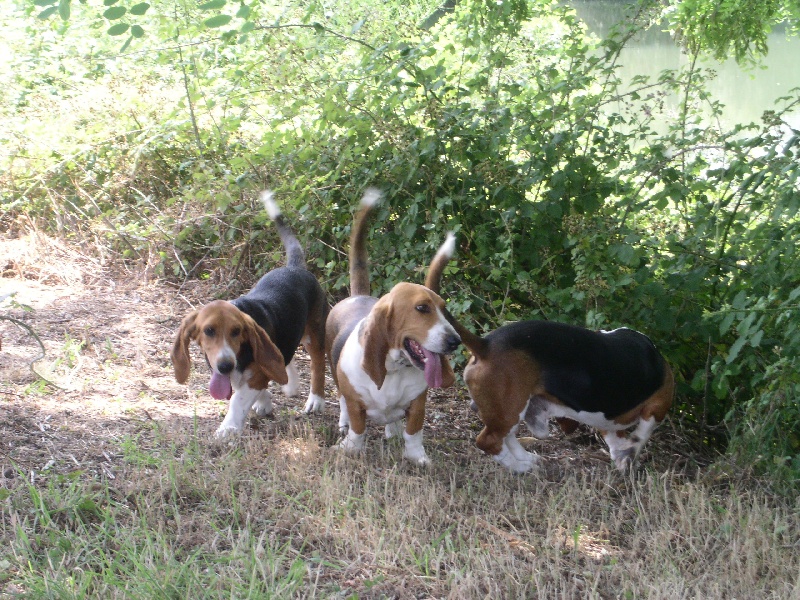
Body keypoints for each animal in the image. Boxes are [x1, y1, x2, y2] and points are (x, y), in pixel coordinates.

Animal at [324, 190, 462, 466]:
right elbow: (358, 427)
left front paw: (417, 457)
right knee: (342, 402)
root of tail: (358, 295)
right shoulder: (355, 402)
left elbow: (414, 433)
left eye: (444, 309)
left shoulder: (418, 404)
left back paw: (393, 430)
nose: (455, 342)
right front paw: (350, 449)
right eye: (422, 308)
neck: (395, 367)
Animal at [450, 318, 676, 474]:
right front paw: (629, 456)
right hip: (510, 409)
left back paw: (527, 459)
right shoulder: (657, 407)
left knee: (507, 436)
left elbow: (616, 440)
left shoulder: (609, 422)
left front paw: (622, 458)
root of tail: (485, 344)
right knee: (487, 441)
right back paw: (521, 467)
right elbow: (640, 436)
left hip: (510, 410)